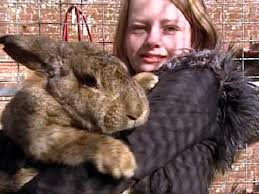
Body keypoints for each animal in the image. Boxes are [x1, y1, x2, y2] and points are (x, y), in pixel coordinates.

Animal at [0, 34, 158, 192]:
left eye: (125, 70)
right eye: (89, 80)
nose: (137, 113)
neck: (60, 100)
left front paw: (148, 78)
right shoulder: (37, 130)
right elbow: (81, 139)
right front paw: (122, 161)